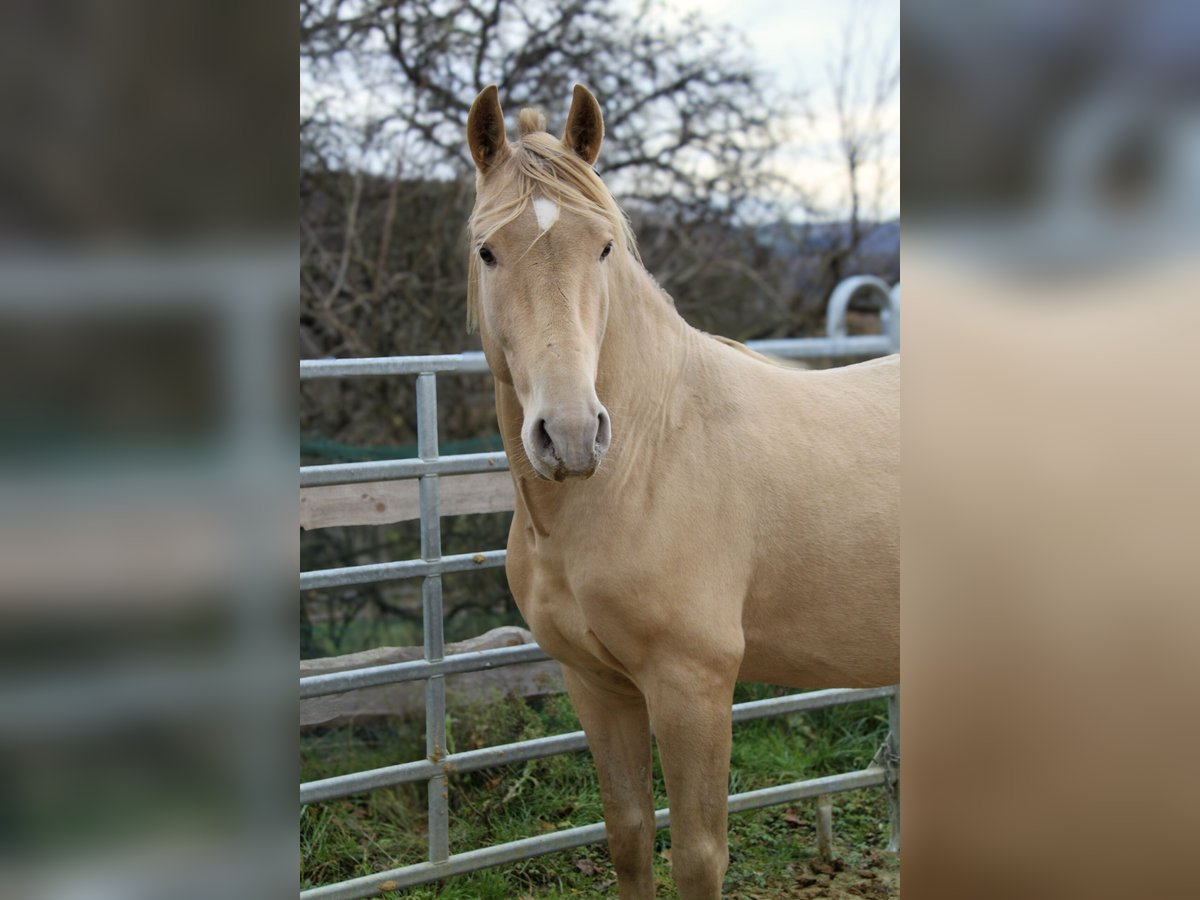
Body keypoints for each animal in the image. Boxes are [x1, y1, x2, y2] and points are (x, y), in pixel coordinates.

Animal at [463, 86, 897, 900]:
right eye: (486, 251)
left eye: (603, 246)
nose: (572, 435)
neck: (647, 460)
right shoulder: (597, 685)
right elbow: (630, 837)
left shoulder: (691, 687)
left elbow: (697, 856)